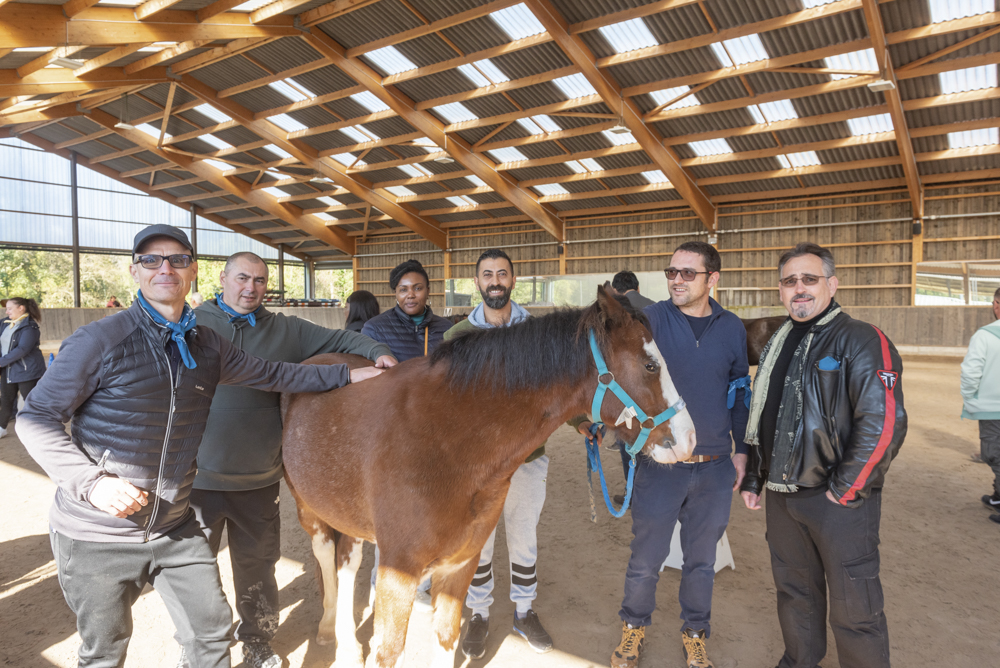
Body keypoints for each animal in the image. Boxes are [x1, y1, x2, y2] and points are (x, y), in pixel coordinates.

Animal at [280, 288, 696, 668]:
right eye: (650, 366)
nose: (690, 439)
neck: (444, 439)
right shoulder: (398, 570)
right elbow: (388, 651)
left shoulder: (460, 563)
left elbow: (446, 637)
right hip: (309, 509)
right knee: (326, 556)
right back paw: (327, 630)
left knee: (347, 562)